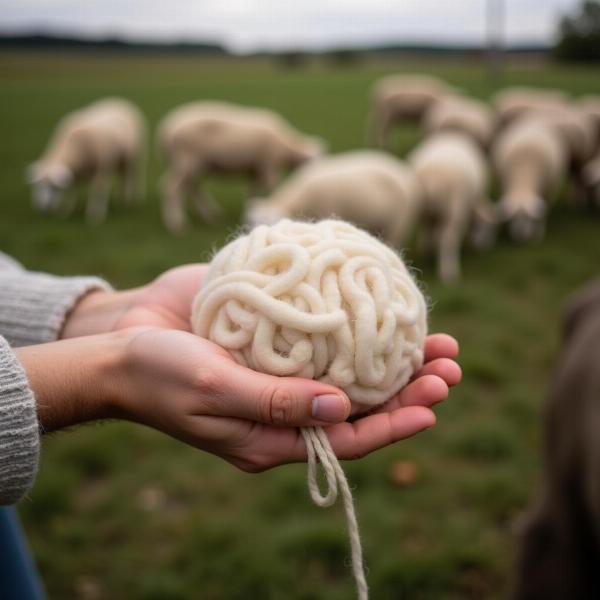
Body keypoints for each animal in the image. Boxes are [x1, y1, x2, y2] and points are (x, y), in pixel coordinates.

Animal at [155, 102, 324, 233]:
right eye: (311, 162)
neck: (286, 147)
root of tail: (166, 130)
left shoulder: (254, 170)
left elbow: (252, 191)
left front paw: (247, 211)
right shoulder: (269, 166)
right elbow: (273, 188)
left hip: (195, 165)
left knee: (193, 188)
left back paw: (210, 214)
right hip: (187, 160)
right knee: (172, 188)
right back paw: (177, 223)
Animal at [408, 132, 496, 282]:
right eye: (488, 228)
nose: (485, 248)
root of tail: (434, 181)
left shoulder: (430, 215)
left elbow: (429, 231)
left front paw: (427, 248)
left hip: (424, 208)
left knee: (428, 228)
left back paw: (427, 251)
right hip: (455, 207)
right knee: (448, 239)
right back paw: (449, 272)